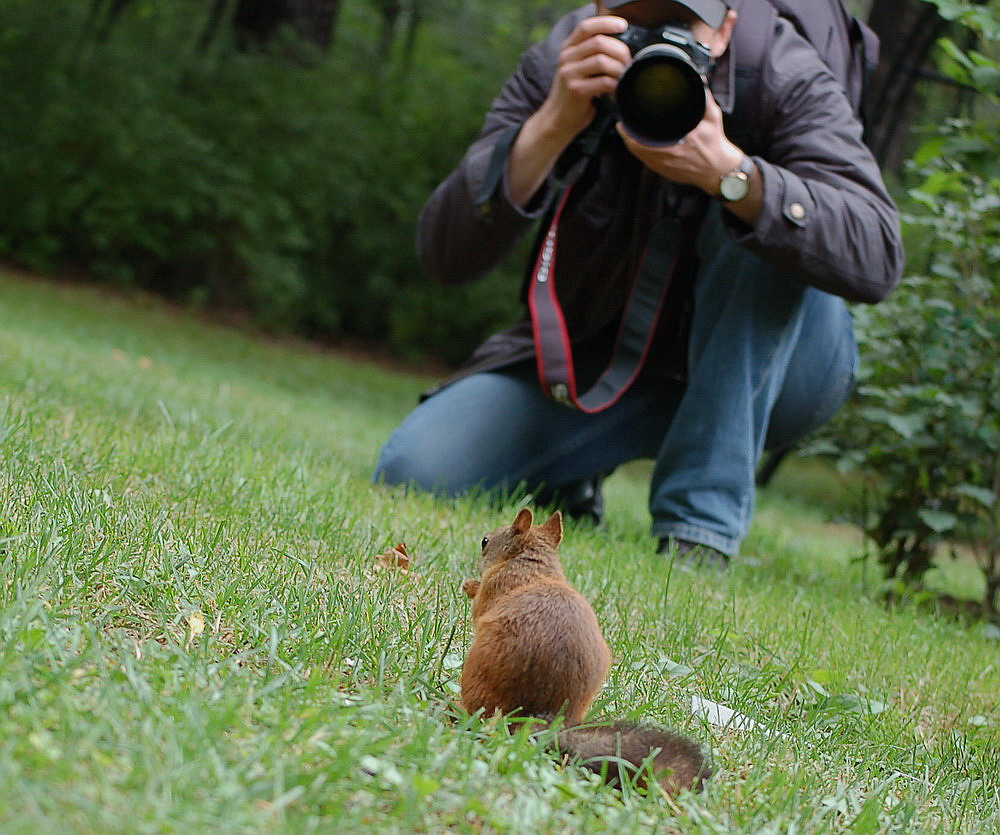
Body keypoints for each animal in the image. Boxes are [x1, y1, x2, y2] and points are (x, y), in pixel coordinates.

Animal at [460, 506, 712, 792]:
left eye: (485, 541)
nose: (477, 557)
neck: (534, 563)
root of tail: (539, 716)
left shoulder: (496, 585)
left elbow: (479, 607)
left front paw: (470, 585)